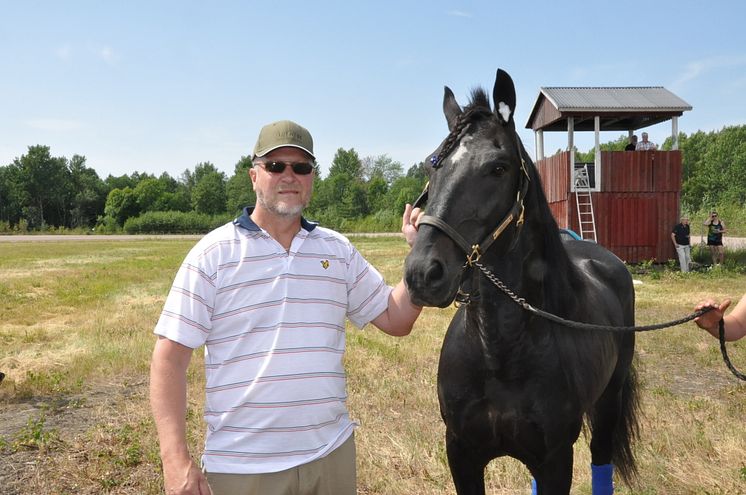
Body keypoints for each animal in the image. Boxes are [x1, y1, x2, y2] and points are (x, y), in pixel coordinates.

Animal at [404, 68, 636, 494]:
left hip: (609, 402)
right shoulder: (461, 453)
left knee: (602, 462)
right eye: (432, 166)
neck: (499, 354)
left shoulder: (556, 460)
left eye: (498, 167)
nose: (423, 274)